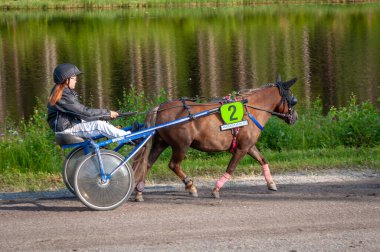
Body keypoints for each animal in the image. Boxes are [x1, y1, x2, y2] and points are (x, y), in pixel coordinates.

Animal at [132, 77, 298, 201]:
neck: (249, 110)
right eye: (293, 99)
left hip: (161, 143)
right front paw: (216, 189)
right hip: (181, 145)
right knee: (174, 165)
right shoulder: (242, 148)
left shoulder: (249, 146)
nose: (295, 117)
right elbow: (230, 168)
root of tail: (160, 108)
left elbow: (263, 160)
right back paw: (190, 186)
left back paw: (139, 191)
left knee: (147, 164)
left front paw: (271, 183)